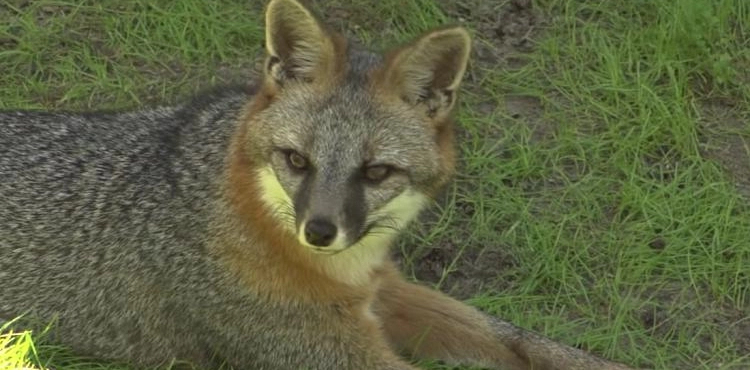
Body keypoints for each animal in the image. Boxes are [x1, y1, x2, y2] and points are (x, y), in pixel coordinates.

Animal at [0, 0, 636, 370]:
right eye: (296, 160)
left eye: (377, 172)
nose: (320, 232)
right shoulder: (328, 350)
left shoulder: (383, 290)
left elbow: (523, 341)